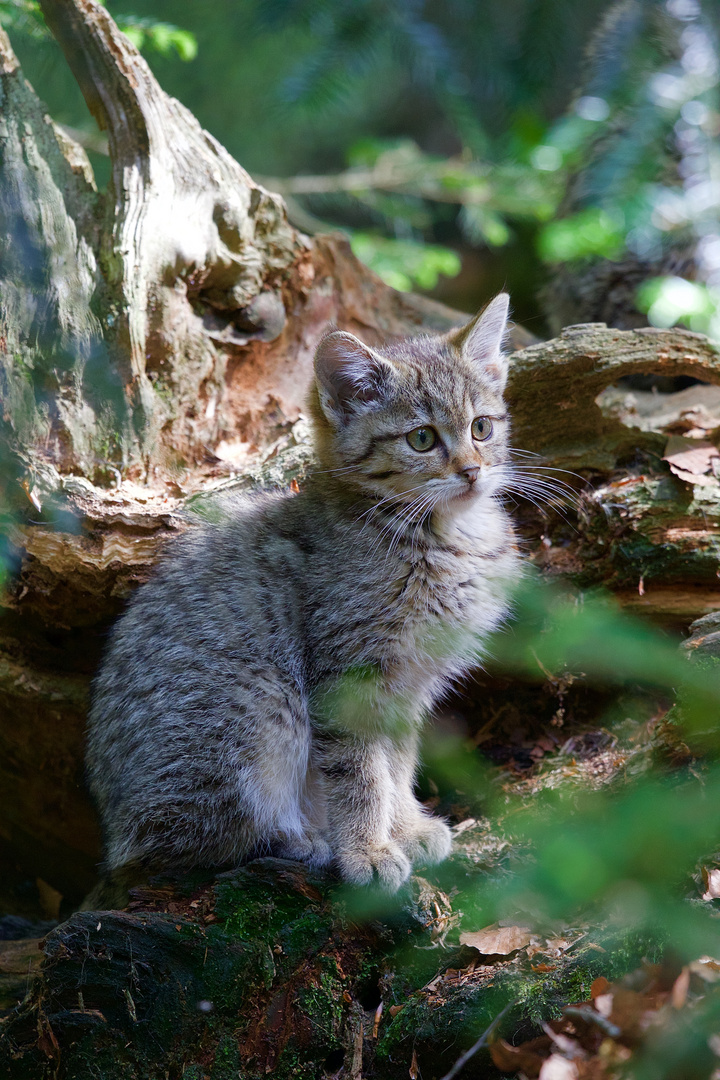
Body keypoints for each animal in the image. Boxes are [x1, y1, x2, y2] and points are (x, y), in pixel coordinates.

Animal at [87, 295, 520, 894]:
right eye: (422, 439)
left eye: (481, 427)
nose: (473, 471)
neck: (441, 535)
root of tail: (115, 827)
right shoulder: (349, 675)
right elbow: (361, 771)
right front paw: (368, 850)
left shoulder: (408, 685)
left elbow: (397, 763)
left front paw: (405, 827)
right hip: (261, 708)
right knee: (177, 847)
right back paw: (301, 841)